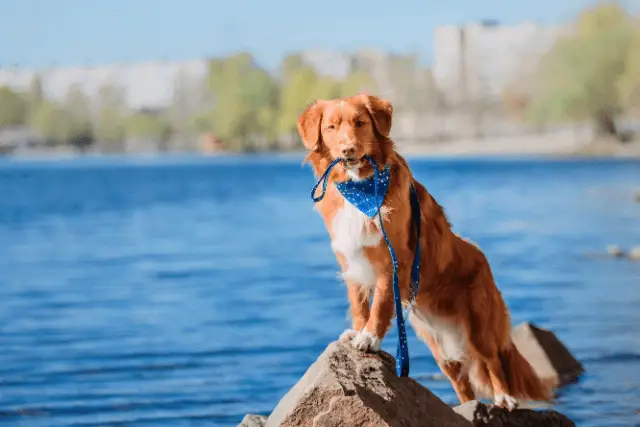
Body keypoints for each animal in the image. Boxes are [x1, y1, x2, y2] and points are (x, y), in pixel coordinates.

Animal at [298, 95, 552, 410]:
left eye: (360, 123)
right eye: (331, 127)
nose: (348, 150)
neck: (362, 189)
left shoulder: (393, 261)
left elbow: (380, 304)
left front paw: (370, 337)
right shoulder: (351, 261)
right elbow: (360, 305)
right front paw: (358, 331)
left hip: (479, 326)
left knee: (492, 360)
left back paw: (504, 397)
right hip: (438, 345)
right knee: (462, 383)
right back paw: (466, 408)